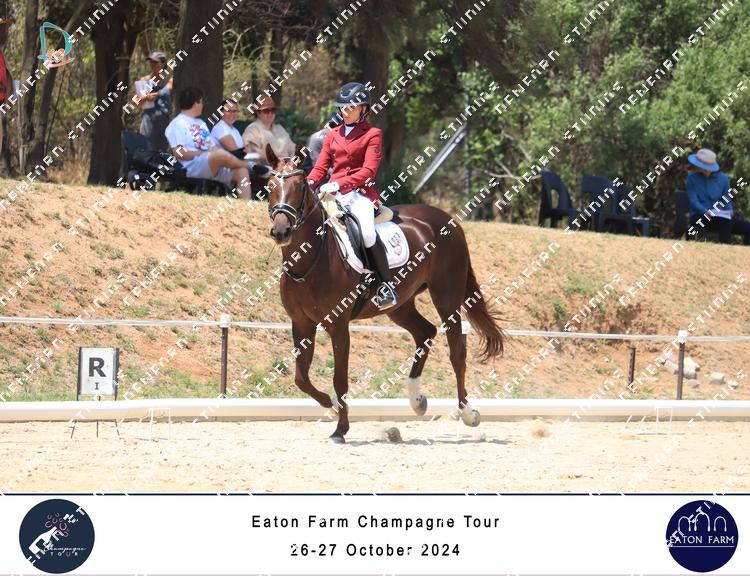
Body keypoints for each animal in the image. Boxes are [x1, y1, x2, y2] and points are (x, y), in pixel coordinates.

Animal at [264, 144, 505, 443]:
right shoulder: (301, 324)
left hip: (446, 297)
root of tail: (450, 220)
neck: (309, 260)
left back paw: (468, 413)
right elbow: (301, 378)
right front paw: (330, 405)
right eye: (269, 185)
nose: (281, 231)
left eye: (299, 186)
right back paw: (417, 400)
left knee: (456, 351)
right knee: (425, 333)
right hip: (400, 306)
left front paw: (340, 429)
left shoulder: (338, 325)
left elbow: (339, 379)